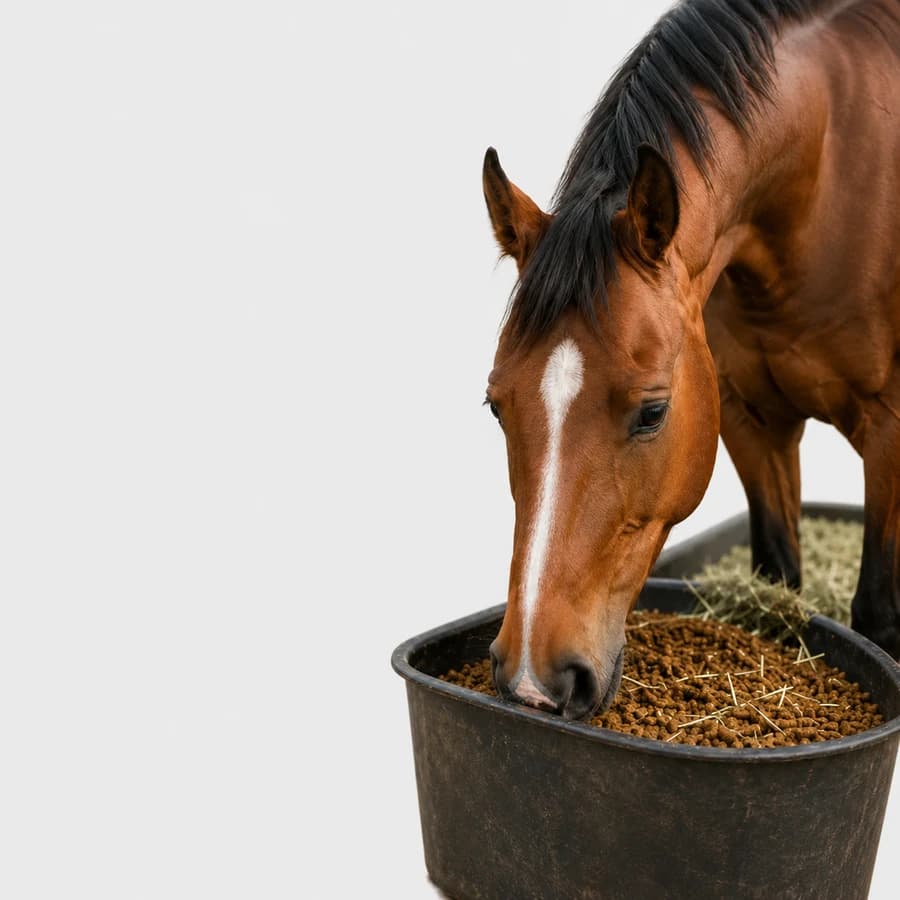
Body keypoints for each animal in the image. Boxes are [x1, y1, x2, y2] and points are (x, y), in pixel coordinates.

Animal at [481, 0, 900, 719]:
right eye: (495, 407)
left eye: (652, 413)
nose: (535, 680)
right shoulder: (750, 418)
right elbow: (777, 575)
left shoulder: (890, 426)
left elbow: (875, 614)